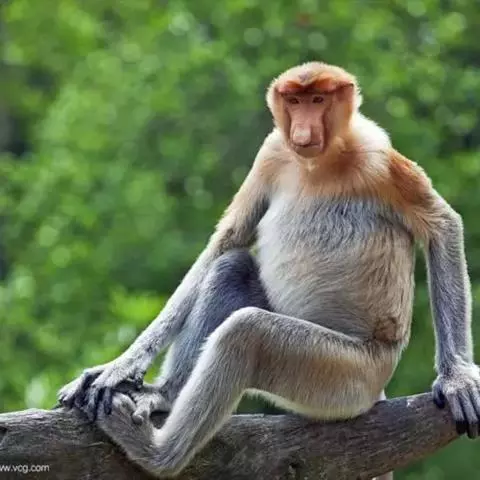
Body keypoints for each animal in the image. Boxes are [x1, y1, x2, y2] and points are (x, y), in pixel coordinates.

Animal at [57, 62, 480, 479]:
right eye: (293, 101)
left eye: (318, 100)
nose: (302, 129)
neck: (318, 164)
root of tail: (376, 389)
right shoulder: (272, 152)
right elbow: (226, 241)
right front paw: (120, 366)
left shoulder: (380, 159)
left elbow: (442, 226)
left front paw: (456, 381)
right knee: (230, 268)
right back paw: (165, 395)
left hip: (349, 375)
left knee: (247, 335)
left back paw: (158, 456)